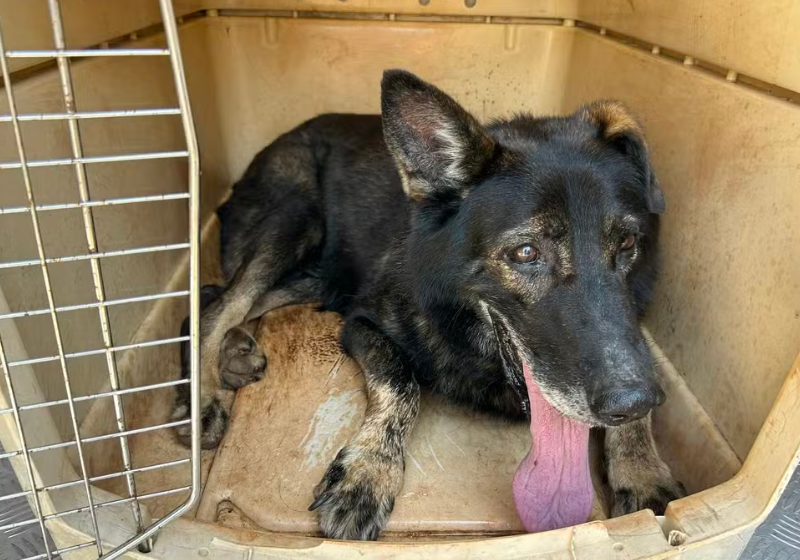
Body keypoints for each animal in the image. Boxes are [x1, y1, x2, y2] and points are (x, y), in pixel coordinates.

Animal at [172, 69, 684, 540]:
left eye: (627, 244)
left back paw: (234, 353)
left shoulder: (633, 329)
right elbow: (402, 385)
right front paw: (368, 473)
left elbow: (643, 367)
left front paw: (642, 468)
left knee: (215, 299)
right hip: (293, 221)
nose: (632, 402)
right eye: (525, 253)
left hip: (318, 275)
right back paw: (205, 397)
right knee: (218, 305)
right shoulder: (362, 322)